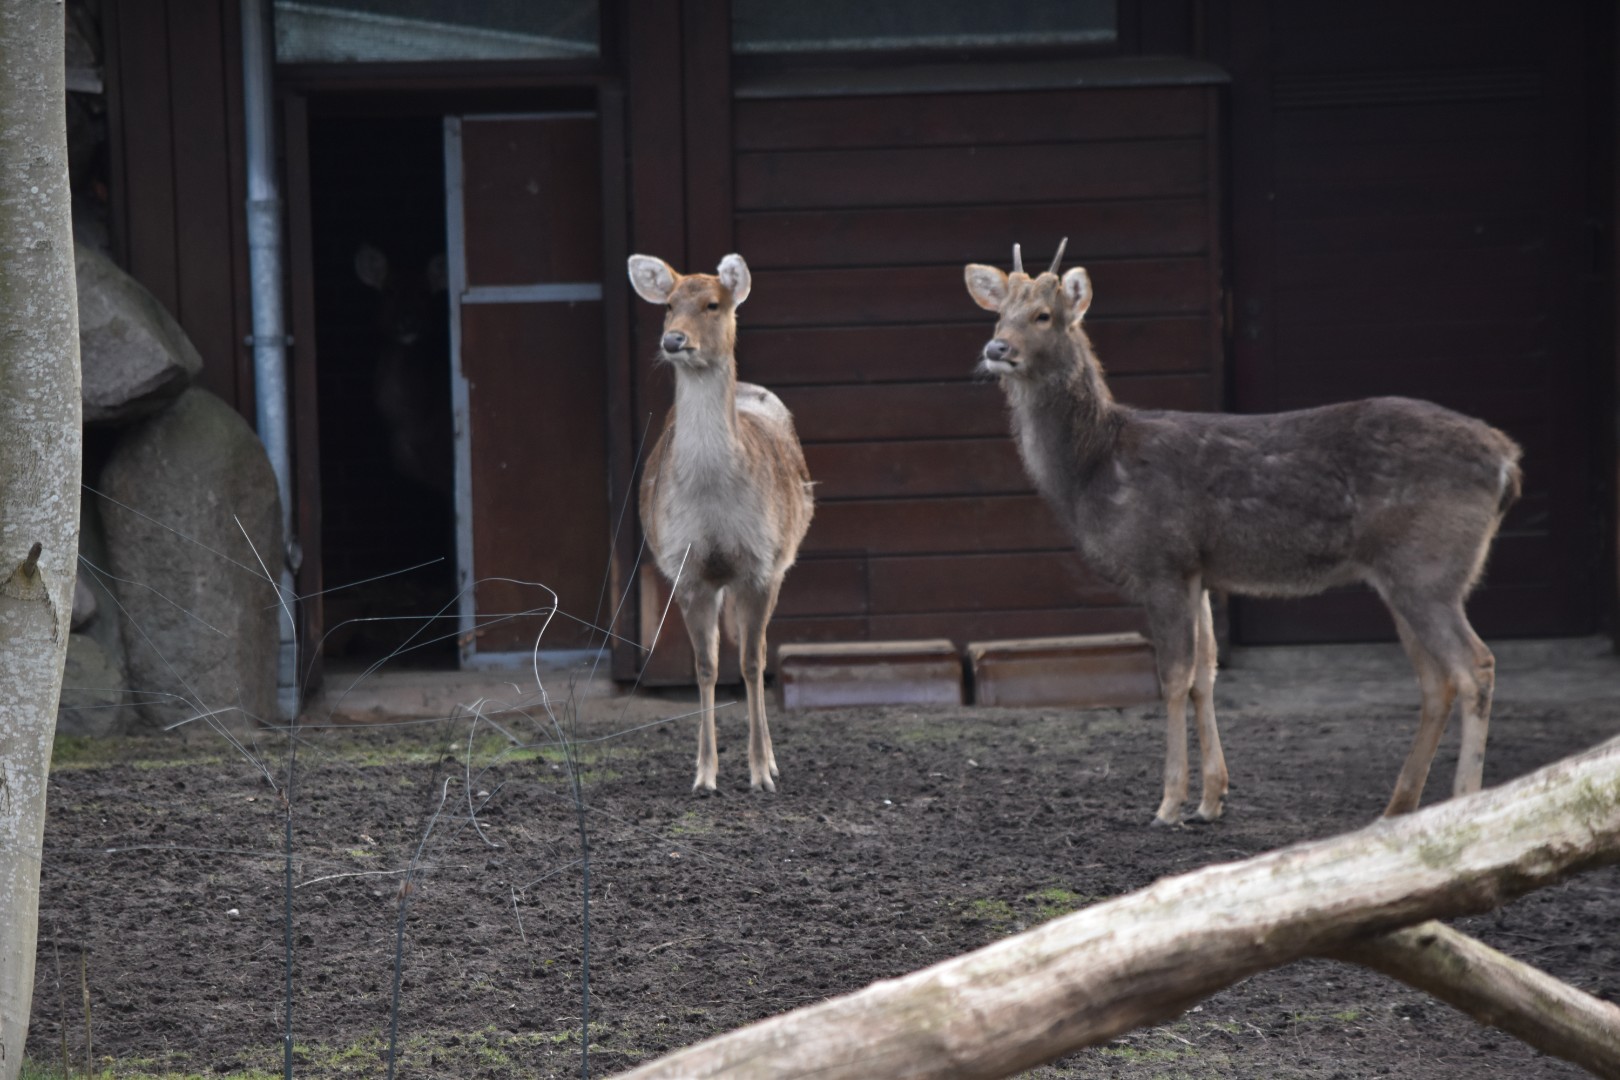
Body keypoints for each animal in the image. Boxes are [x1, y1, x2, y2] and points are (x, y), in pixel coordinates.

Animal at [627, 253, 815, 793]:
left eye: (713, 304)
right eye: (669, 305)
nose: (674, 340)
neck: (714, 501)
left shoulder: (761, 563)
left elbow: (752, 665)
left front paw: (760, 772)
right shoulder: (686, 569)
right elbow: (706, 666)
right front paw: (705, 774)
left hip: (778, 563)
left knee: (762, 655)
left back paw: (772, 762)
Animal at [965, 240, 1522, 827]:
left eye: (1043, 315)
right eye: (999, 313)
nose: (997, 347)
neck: (1094, 469)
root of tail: (1508, 462)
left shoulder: (1161, 560)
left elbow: (1174, 677)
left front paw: (1168, 803)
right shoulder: (1200, 570)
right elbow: (1205, 674)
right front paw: (1212, 799)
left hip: (1430, 566)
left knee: (1475, 666)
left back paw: (1462, 803)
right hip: (1405, 576)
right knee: (1436, 680)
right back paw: (1398, 808)